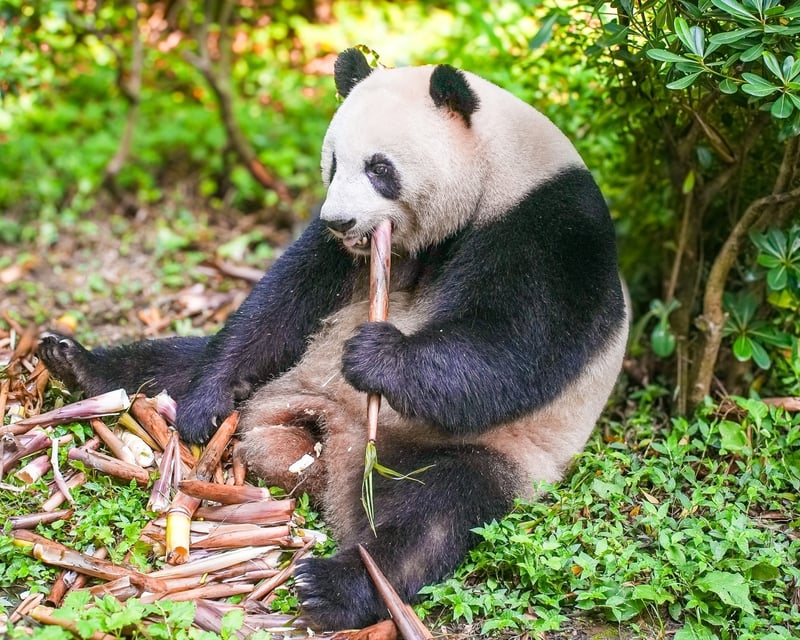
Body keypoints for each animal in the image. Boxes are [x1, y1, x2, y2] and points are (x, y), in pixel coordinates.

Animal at [38, 49, 629, 631]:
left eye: (380, 168)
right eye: (333, 164)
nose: (340, 220)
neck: (498, 169)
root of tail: (322, 438)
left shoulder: (549, 231)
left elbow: (513, 346)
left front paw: (376, 356)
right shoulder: (347, 253)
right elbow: (285, 299)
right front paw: (202, 408)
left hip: (478, 449)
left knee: (434, 510)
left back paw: (330, 585)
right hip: (281, 376)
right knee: (176, 361)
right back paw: (75, 363)